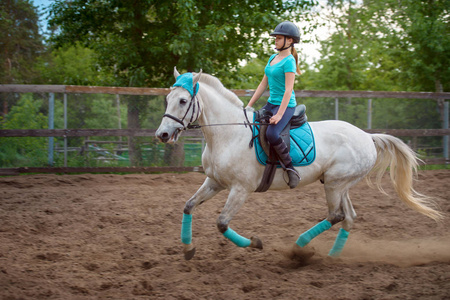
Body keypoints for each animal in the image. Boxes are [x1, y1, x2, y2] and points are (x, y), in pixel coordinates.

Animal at [156, 68, 442, 260]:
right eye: (167, 100)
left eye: (183, 101)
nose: (162, 135)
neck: (228, 134)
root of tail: (367, 136)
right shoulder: (215, 182)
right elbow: (188, 206)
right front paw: (188, 249)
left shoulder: (240, 189)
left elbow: (222, 223)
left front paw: (256, 243)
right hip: (340, 185)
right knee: (348, 217)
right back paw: (331, 257)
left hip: (335, 184)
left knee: (336, 215)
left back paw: (299, 249)